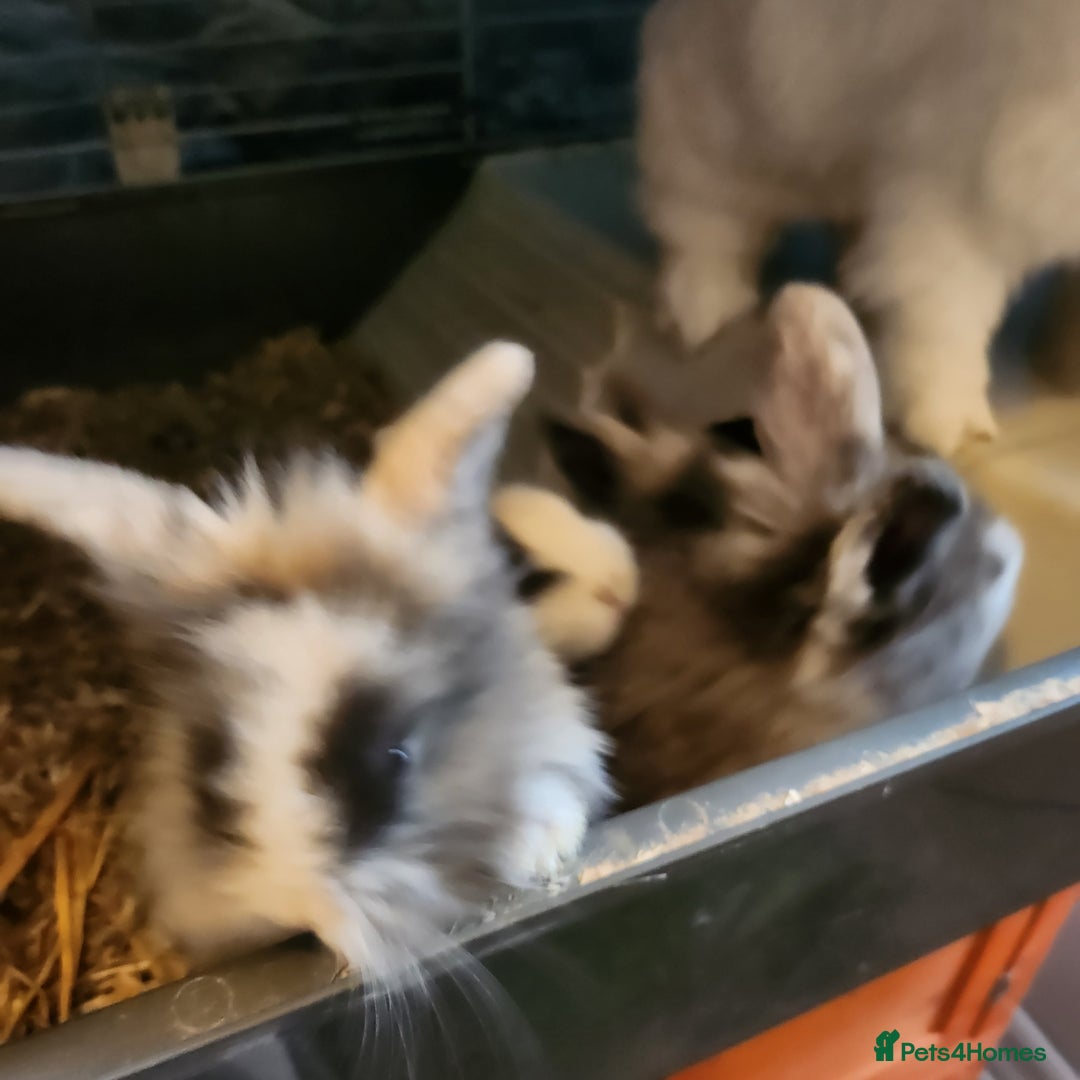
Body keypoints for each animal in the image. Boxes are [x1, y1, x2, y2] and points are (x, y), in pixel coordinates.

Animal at [638, 0, 1080, 457]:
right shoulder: (953, 195)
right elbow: (945, 315)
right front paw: (950, 429)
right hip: (726, 122)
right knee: (702, 219)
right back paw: (703, 313)